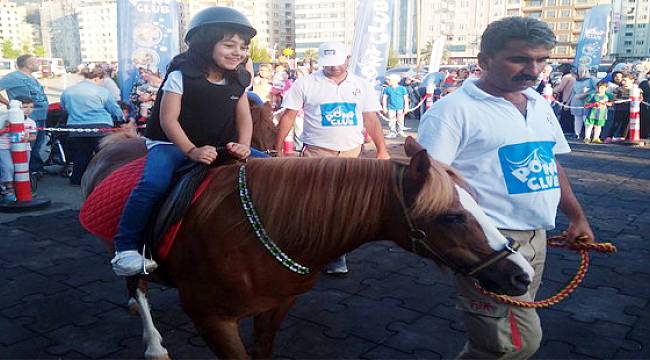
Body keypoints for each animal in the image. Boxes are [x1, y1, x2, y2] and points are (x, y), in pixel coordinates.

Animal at [81, 136, 532, 358]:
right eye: (451, 216)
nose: (521, 275)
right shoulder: (212, 319)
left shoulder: (276, 307)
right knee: (135, 284)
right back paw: (153, 344)